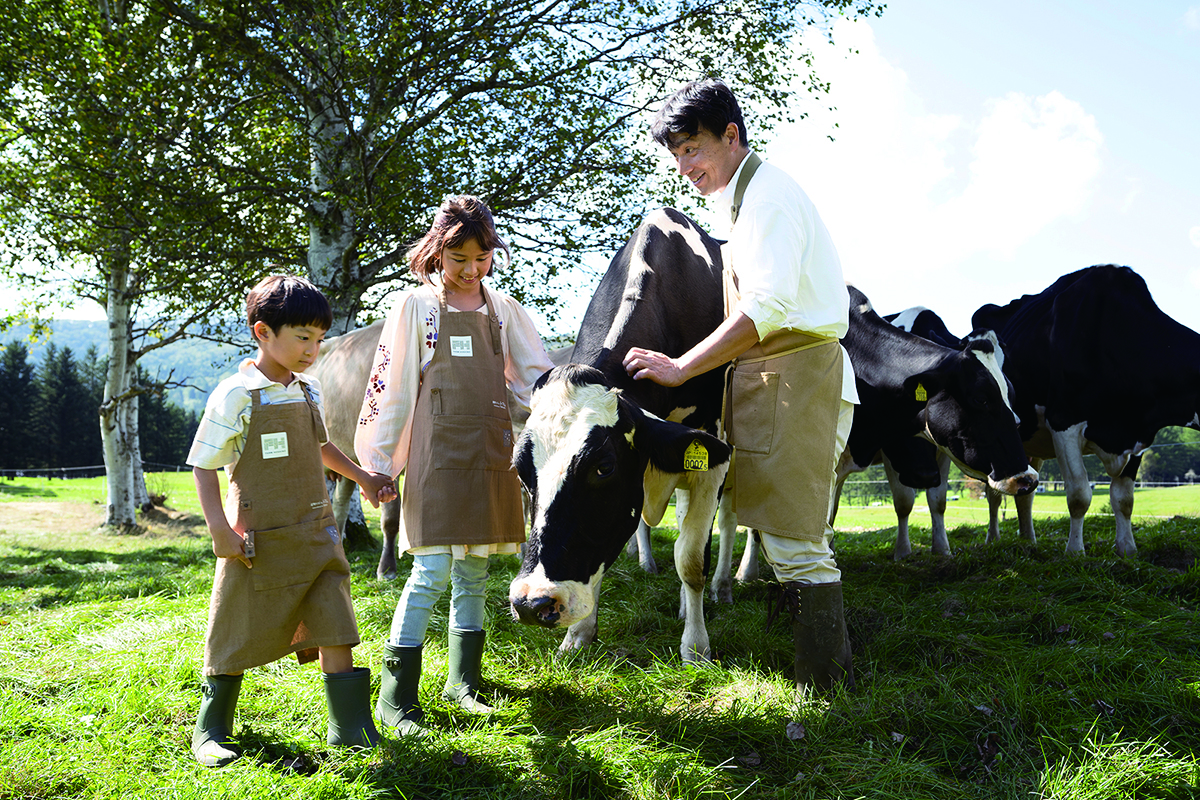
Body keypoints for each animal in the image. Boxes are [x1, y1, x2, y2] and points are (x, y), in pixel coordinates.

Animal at [506, 208, 729, 662]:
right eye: (521, 470)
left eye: (603, 467)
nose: (533, 603)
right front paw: (578, 636)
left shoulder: (711, 450)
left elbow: (691, 559)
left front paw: (696, 646)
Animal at [830, 286, 1036, 556]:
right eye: (980, 398)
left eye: (1009, 392)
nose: (1028, 479)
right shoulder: (888, 448)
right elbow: (903, 500)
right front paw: (902, 552)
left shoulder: (940, 451)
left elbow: (937, 500)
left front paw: (942, 549)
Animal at [974, 263, 1200, 556]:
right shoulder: (1063, 422)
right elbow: (1079, 495)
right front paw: (1074, 552)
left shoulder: (1139, 435)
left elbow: (1124, 499)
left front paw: (1127, 549)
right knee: (993, 493)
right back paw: (993, 539)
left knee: (1025, 493)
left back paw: (1028, 541)